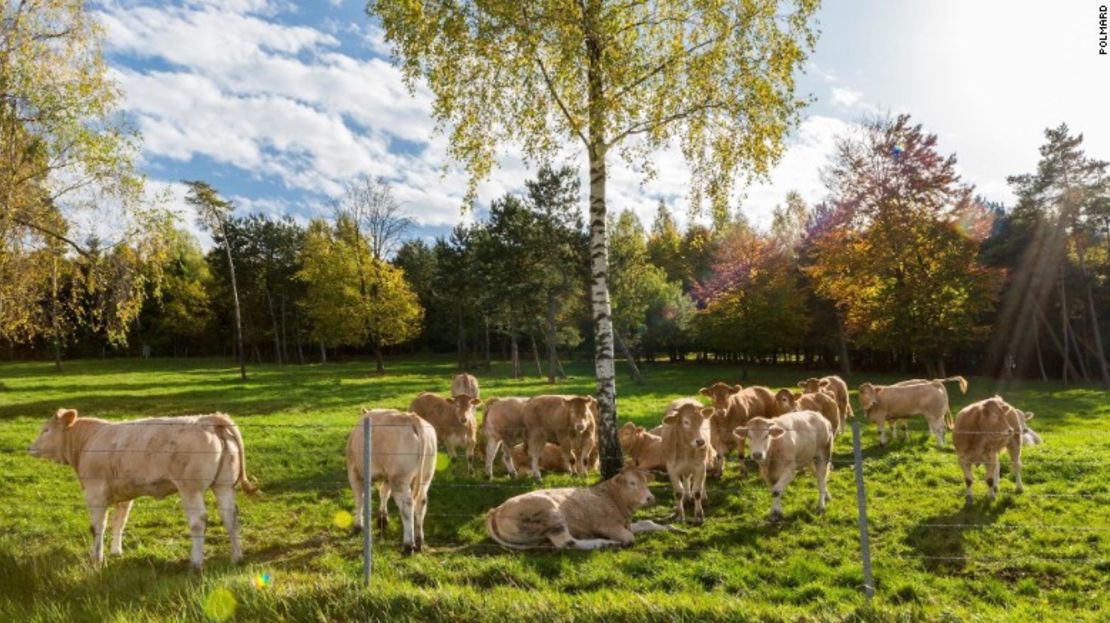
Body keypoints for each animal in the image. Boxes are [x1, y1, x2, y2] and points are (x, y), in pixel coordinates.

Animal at [29, 408, 257, 568]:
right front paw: (116, 552)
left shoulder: (95, 492)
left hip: (190, 489)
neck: (88, 442)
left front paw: (97, 557)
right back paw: (236, 557)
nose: (29, 447)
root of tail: (208, 419)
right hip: (224, 485)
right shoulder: (124, 495)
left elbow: (97, 527)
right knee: (230, 517)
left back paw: (196, 562)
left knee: (198, 521)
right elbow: (119, 522)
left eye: (46, 429)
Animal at [344, 408, 435, 553]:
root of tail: (412, 418)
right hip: (426, 476)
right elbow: (384, 493)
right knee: (421, 502)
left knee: (407, 506)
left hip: (399, 479)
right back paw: (419, 540)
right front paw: (382, 519)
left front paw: (358, 526)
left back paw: (408, 545)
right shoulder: (386, 476)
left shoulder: (354, 472)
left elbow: (360, 499)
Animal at [481, 466, 670, 548]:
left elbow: (647, 523)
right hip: (551, 514)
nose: (650, 498)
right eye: (632, 483)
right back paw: (603, 543)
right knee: (567, 543)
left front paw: (670, 528)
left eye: (646, 482)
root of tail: (495, 510)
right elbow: (629, 537)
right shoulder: (606, 525)